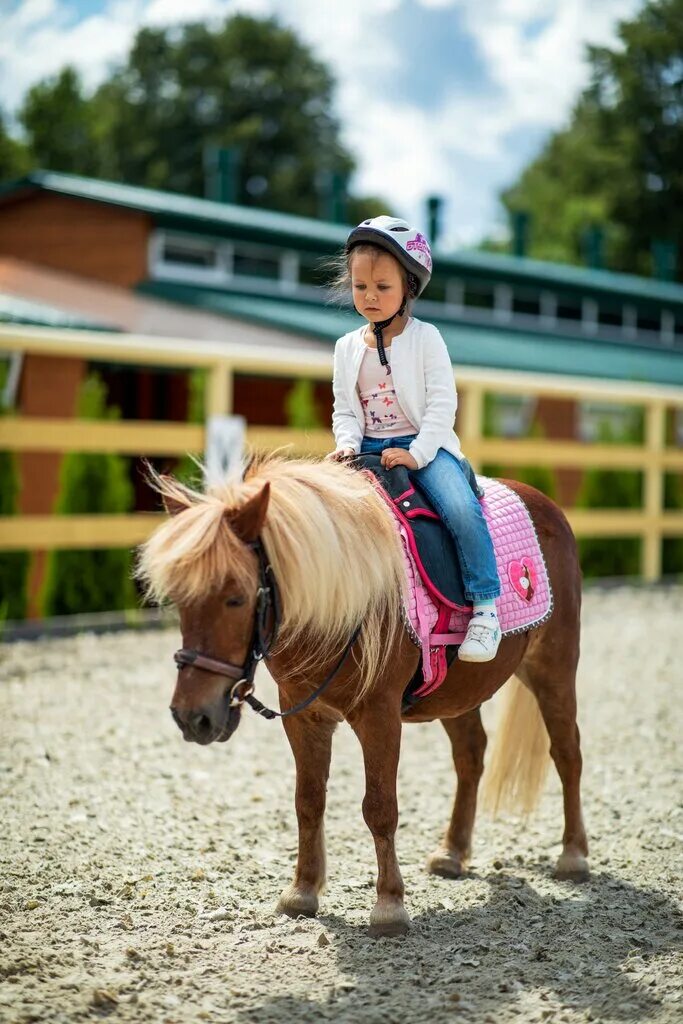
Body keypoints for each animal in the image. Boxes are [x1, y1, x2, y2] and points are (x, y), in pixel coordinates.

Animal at [137, 454, 589, 937]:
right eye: (180, 599)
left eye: (236, 597)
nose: (192, 717)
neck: (343, 598)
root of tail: (543, 501)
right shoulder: (305, 716)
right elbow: (308, 801)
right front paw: (302, 891)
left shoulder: (379, 716)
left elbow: (380, 807)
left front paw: (389, 906)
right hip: (458, 693)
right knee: (471, 755)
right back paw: (452, 853)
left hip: (554, 668)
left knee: (567, 753)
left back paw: (573, 856)